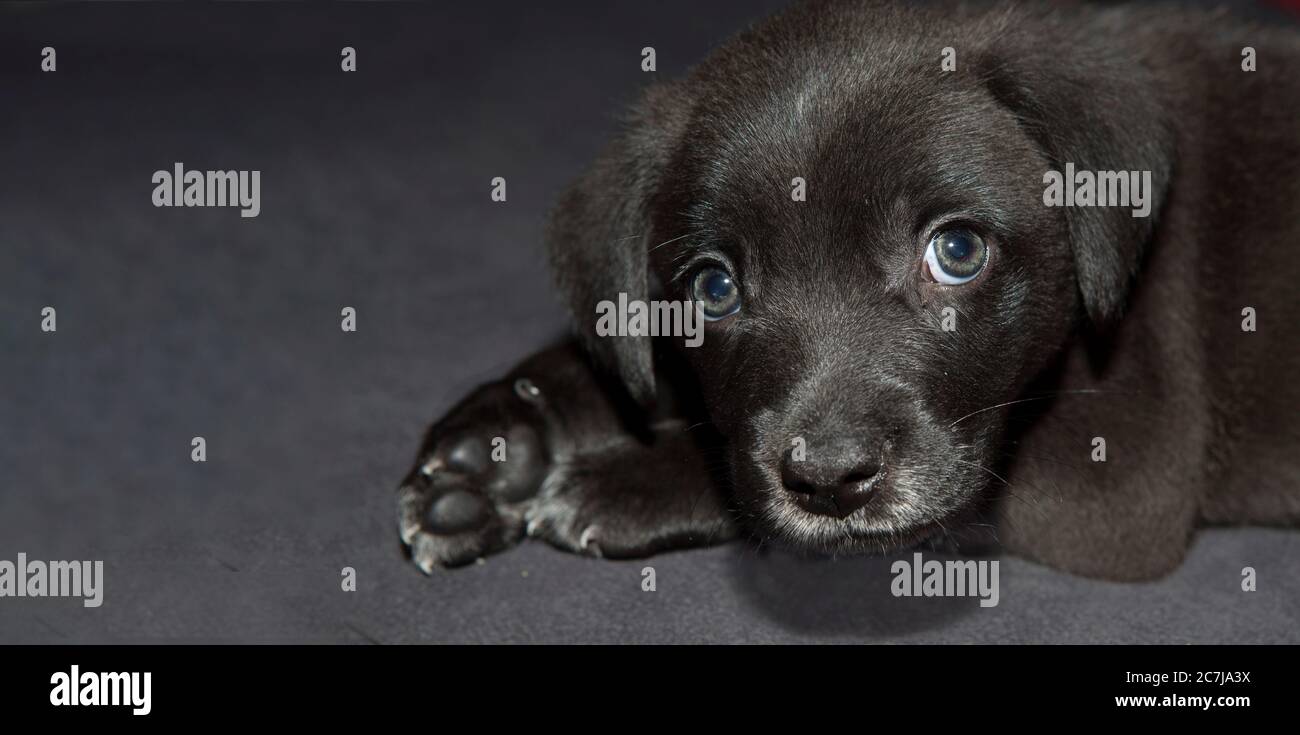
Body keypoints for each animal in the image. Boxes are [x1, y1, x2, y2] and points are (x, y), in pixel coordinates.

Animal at [395, 2, 1300, 582]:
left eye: (957, 250)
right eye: (714, 288)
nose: (828, 480)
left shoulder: (1122, 482)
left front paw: (624, 478)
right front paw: (506, 434)